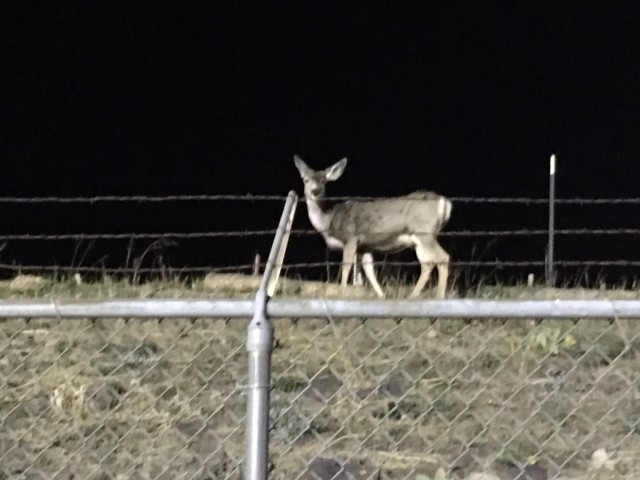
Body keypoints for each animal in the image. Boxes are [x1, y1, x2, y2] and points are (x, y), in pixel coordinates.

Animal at [294, 155, 452, 299]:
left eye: (323, 181)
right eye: (306, 179)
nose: (315, 191)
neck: (329, 220)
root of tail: (444, 201)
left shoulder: (351, 238)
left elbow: (346, 267)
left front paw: (343, 292)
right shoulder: (365, 246)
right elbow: (367, 270)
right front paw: (381, 295)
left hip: (424, 232)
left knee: (442, 257)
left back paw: (438, 296)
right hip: (418, 239)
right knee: (428, 263)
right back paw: (414, 296)